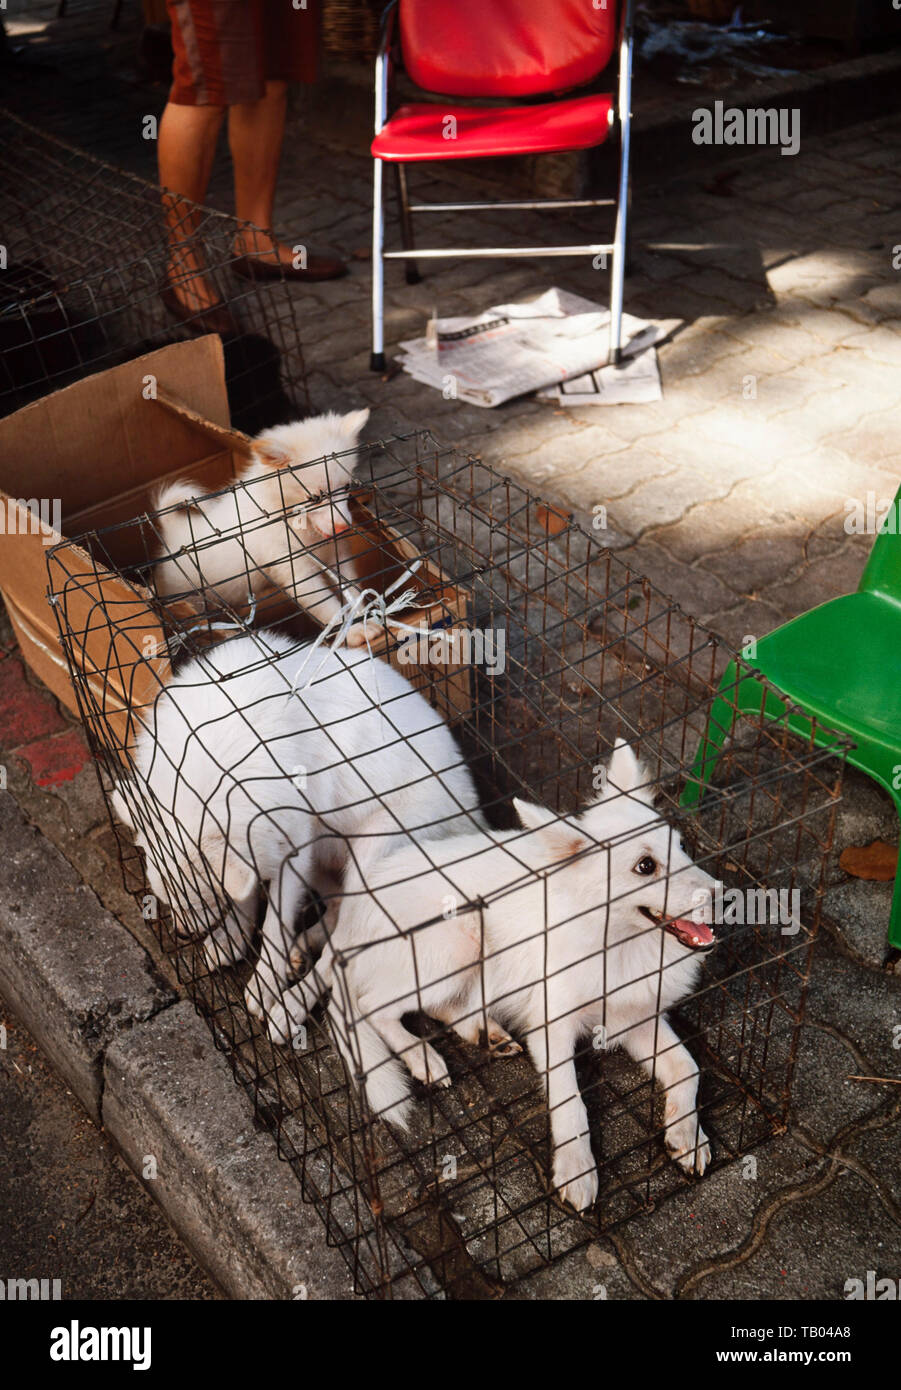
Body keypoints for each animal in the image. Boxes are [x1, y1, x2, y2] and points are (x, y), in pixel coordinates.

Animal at [112, 631, 486, 1023]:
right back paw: (300, 948)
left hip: (370, 853)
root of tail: (471, 808)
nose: (183, 934)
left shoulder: (290, 849)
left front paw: (264, 986)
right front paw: (232, 937)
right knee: (333, 915)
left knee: (341, 950)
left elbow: (273, 926)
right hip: (329, 853)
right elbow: (247, 895)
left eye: (201, 899)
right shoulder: (266, 844)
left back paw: (291, 1007)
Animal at [153, 408, 375, 642]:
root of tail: (171, 530)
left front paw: (364, 618)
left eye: (347, 487)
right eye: (314, 498)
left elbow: (353, 591)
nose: (343, 528)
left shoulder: (338, 555)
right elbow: (329, 608)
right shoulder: (297, 574)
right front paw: (354, 630)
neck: (298, 524)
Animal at [279, 745, 717, 1212]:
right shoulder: (552, 1029)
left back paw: (484, 1033)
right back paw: (422, 1056)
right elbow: (571, 1102)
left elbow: (688, 1068)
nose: (721, 893)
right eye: (645, 866)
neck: (616, 941)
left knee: (444, 1006)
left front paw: (686, 1135)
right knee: (368, 1008)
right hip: (458, 940)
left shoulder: (635, 1017)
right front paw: (578, 1169)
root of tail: (351, 916)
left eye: (682, 846)